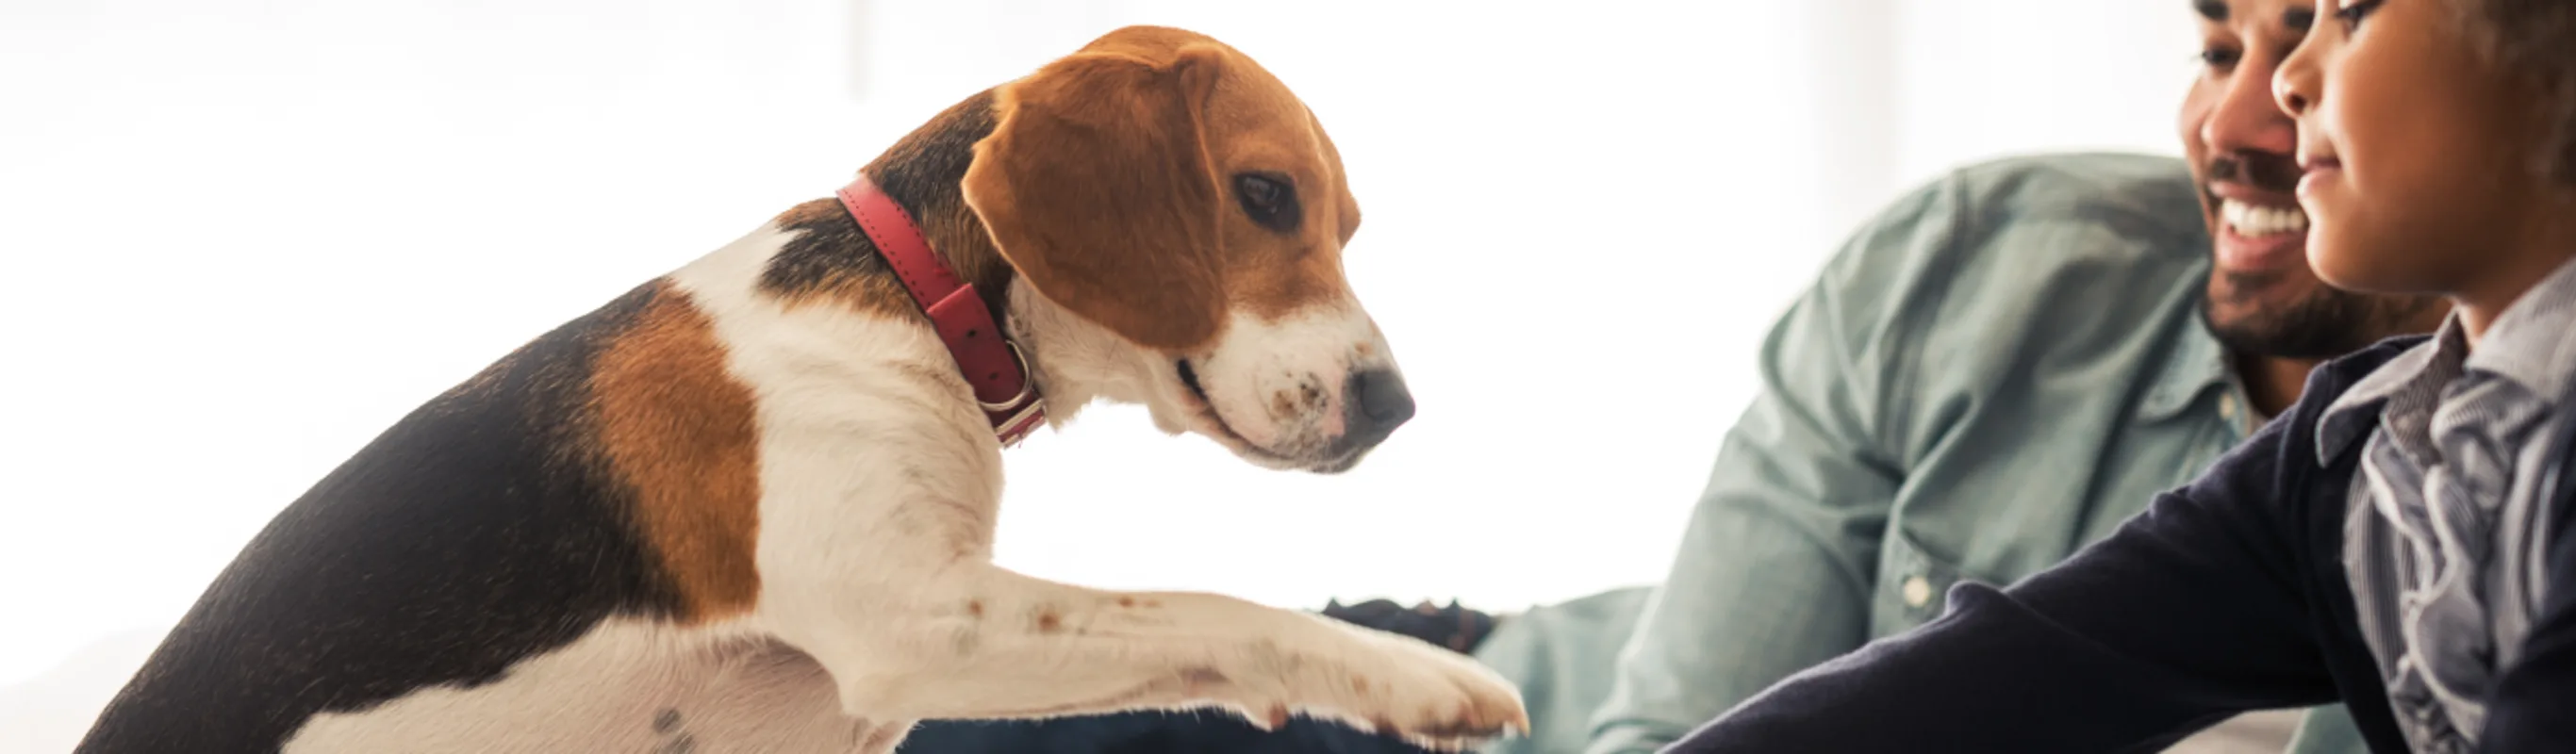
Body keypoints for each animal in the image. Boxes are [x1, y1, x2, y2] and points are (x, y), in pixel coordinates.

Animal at [74, 23, 1525, 751]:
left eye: (1345, 223)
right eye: (1264, 196)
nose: (1393, 407)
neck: (919, 305)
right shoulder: (912, 617)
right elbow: (1207, 600)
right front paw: (1404, 674)